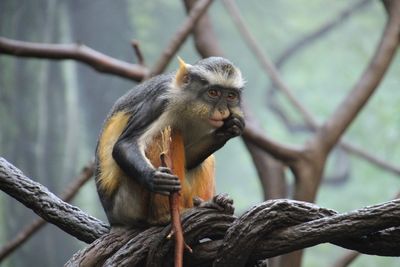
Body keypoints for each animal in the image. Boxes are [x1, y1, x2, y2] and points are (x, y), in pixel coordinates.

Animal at [94, 56, 244, 226]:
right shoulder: (161, 100)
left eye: (231, 96)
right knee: (165, 134)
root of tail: (114, 219)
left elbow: (190, 160)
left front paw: (228, 129)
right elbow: (125, 144)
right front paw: (154, 178)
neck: (187, 106)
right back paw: (163, 216)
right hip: (128, 203)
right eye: (213, 93)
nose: (223, 111)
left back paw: (210, 203)